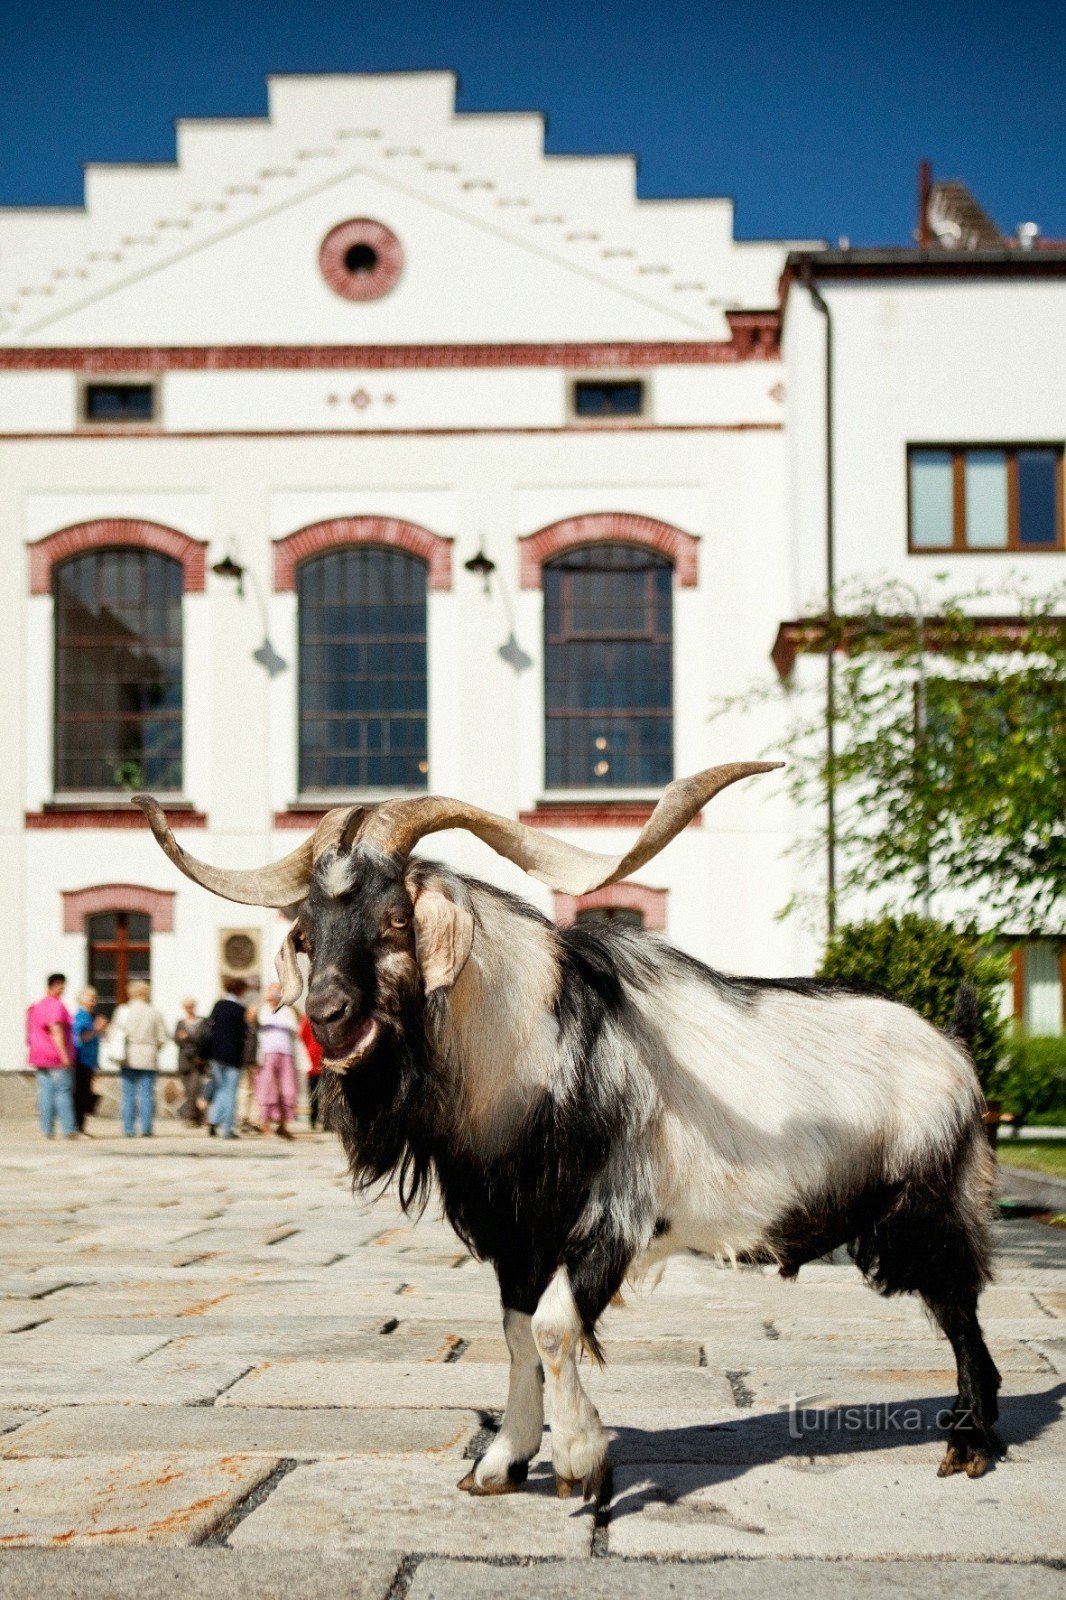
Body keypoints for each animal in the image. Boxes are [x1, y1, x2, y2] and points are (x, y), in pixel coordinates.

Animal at [132, 768, 998, 1491]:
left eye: (393, 921)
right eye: (306, 932)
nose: (327, 1015)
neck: (533, 1060)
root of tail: (954, 1049)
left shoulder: (609, 1223)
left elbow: (554, 1330)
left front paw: (581, 1460)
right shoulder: (518, 1235)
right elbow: (518, 1335)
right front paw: (502, 1463)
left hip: (931, 1209)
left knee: (961, 1311)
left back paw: (969, 1446)